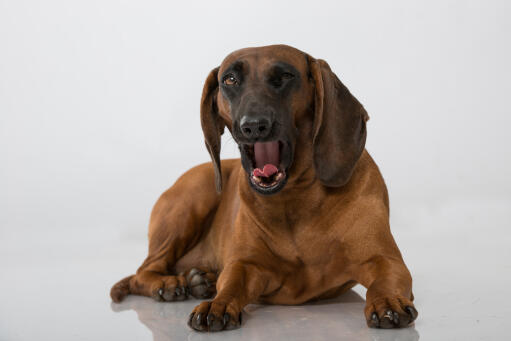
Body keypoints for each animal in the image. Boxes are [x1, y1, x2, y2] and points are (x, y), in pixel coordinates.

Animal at [110, 43, 418, 330]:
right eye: (230, 79)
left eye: (285, 76)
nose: (254, 126)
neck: (295, 196)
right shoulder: (246, 264)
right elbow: (232, 281)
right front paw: (218, 303)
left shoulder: (386, 260)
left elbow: (385, 279)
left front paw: (387, 300)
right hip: (193, 195)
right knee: (142, 272)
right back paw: (172, 284)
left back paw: (196, 280)